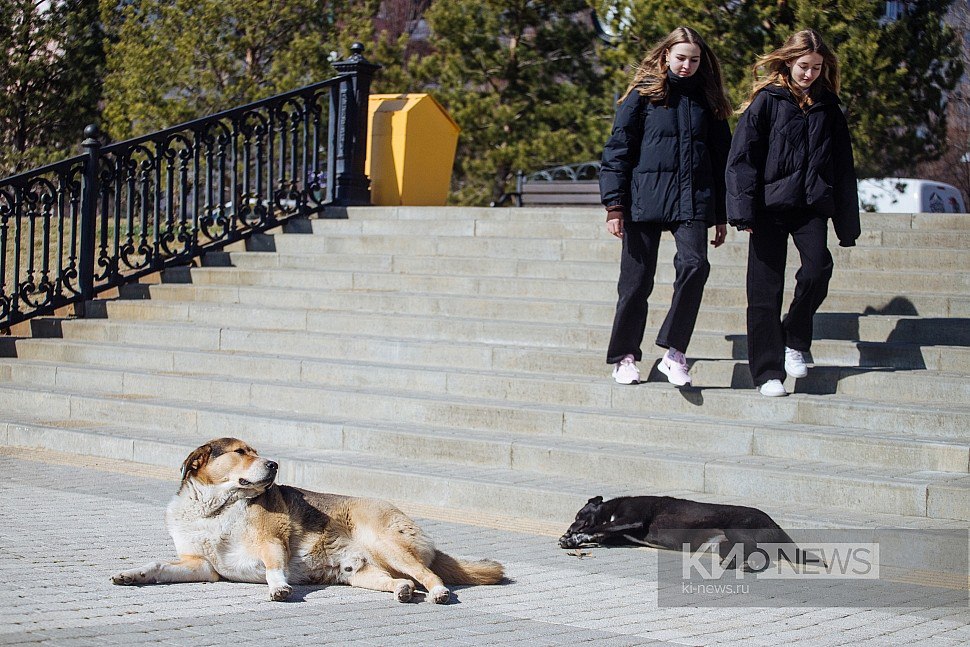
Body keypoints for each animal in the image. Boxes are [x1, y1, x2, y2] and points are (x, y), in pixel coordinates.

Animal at [112, 438, 502, 604]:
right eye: (240, 452)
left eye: (255, 451)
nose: (274, 464)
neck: (215, 510)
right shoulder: (201, 566)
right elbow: (158, 565)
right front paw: (131, 575)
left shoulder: (272, 543)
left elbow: (274, 567)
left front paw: (278, 588)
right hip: (360, 573)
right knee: (402, 581)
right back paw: (403, 591)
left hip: (386, 544)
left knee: (430, 575)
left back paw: (438, 592)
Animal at [560, 498, 816, 568]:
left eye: (579, 515)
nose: (569, 528)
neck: (612, 509)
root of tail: (776, 524)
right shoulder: (619, 535)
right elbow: (598, 534)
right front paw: (572, 540)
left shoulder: (633, 519)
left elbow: (597, 528)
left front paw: (572, 537)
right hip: (723, 542)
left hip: (737, 530)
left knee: (757, 553)